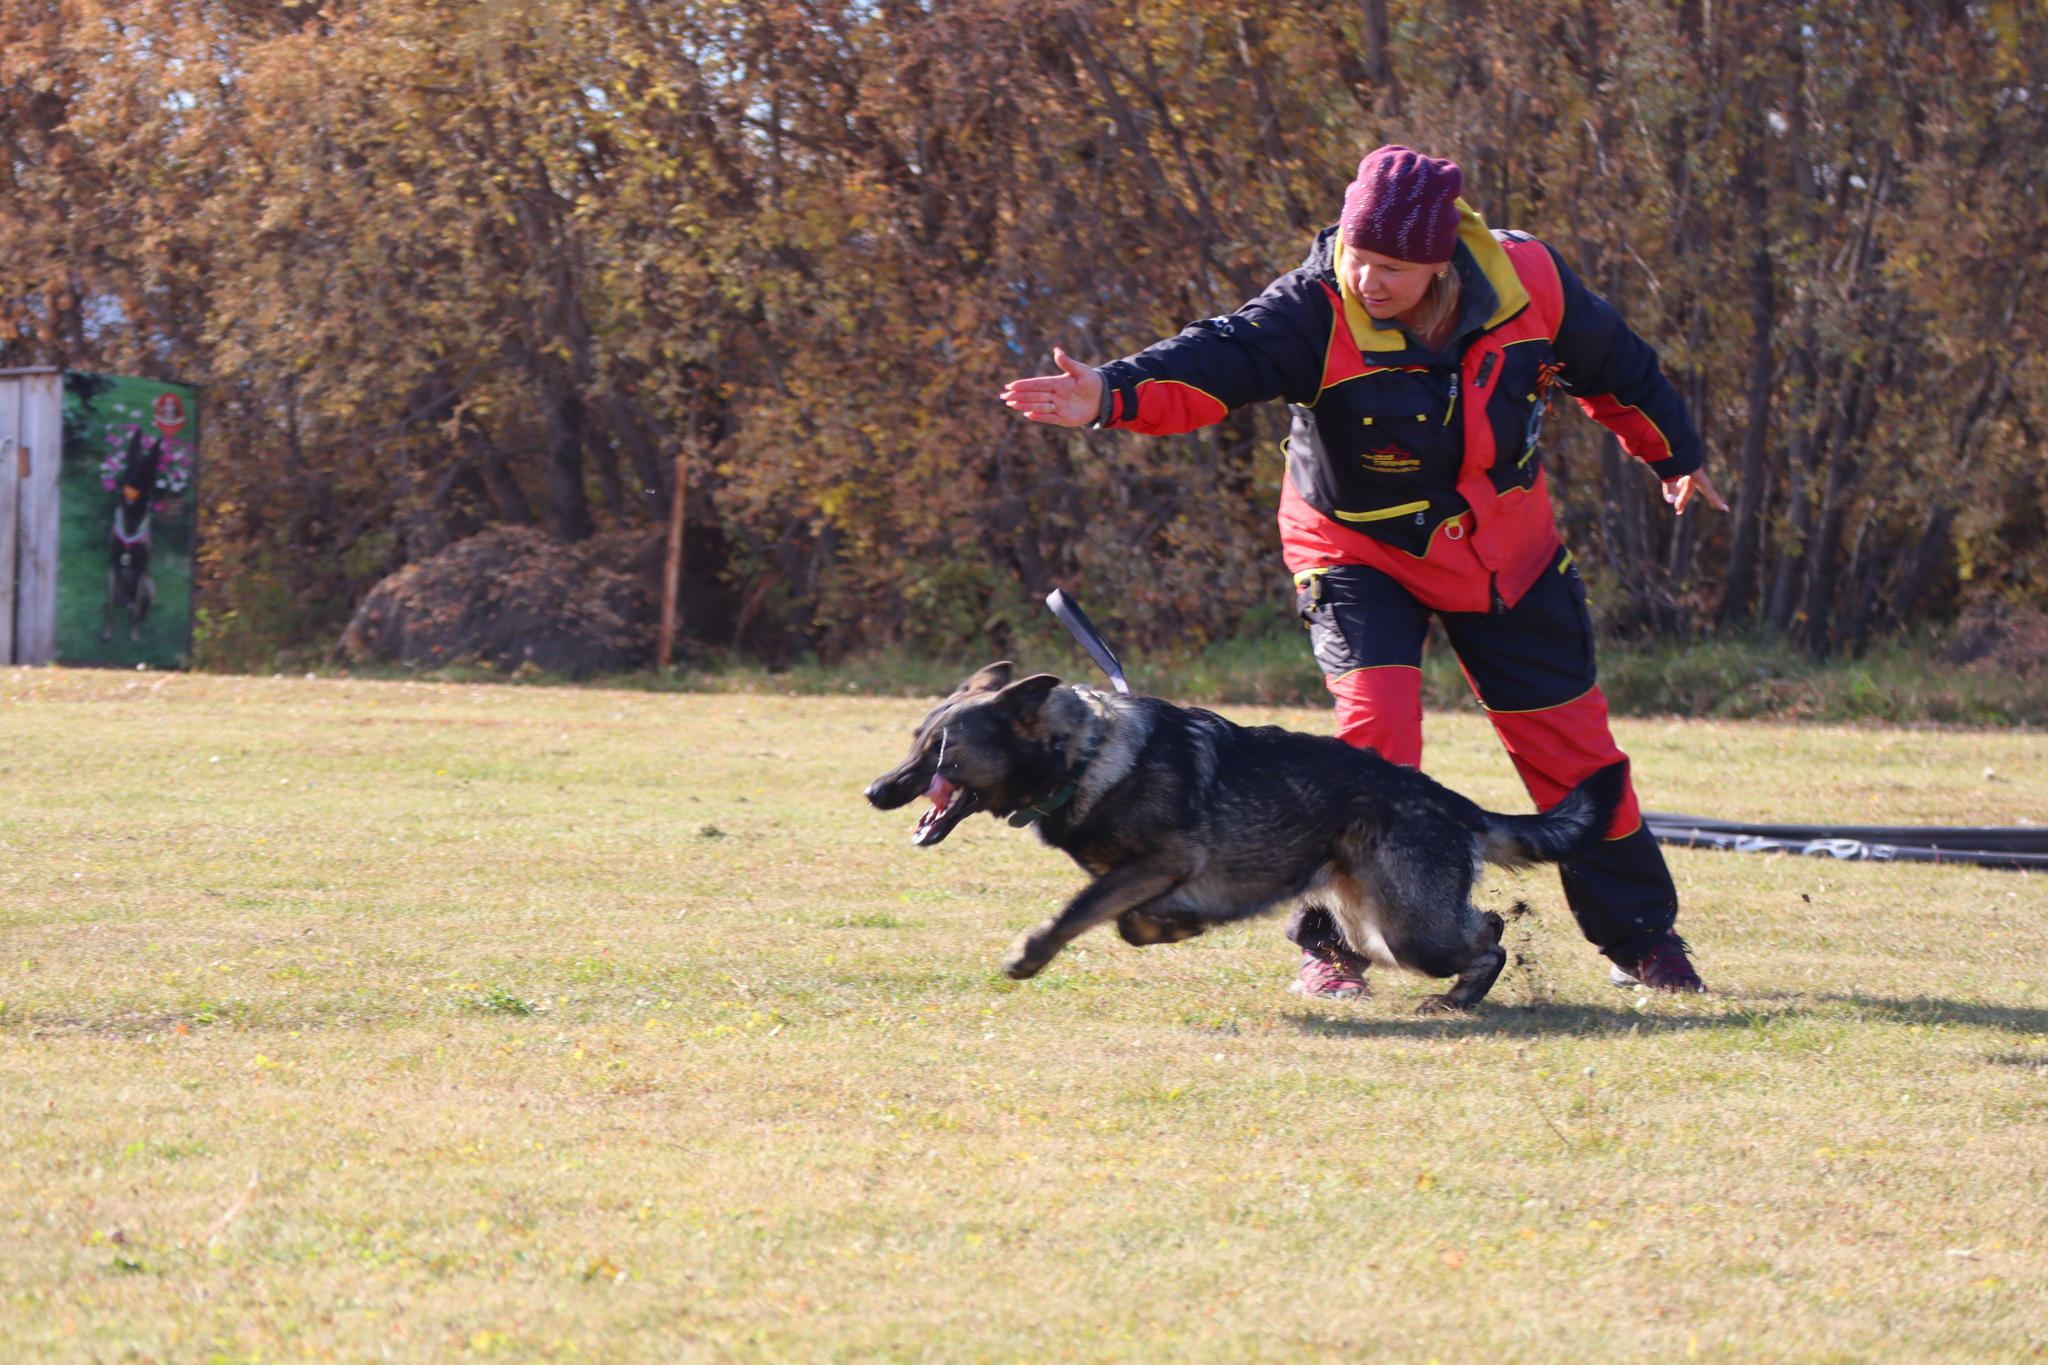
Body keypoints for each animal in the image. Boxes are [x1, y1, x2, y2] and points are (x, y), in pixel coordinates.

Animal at [856, 663, 1622, 1015]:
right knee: (1482, 925)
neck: (1081, 752)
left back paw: (1459, 1000)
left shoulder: (1155, 862)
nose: (874, 793)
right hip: (1373, 926)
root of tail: (1445, 798)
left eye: (942, 752)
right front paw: (1172, 926)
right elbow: (1128, 921)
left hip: (1409, 933)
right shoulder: (1141, 878)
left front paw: (1029, 954)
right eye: (917, 740)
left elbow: (1077, 911)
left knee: (1490, 933)